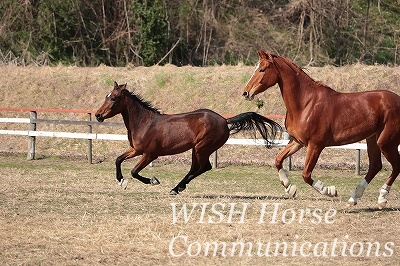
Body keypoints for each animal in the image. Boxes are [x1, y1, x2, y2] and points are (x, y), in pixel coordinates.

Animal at [94, 81, 282, 195]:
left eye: (114, 98)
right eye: (106, 96)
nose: (97, 115)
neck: (144, 122)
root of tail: (224, 120)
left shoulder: (150, 154)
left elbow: (134, 171)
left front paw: (153, 181)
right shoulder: (136, 149)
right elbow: (118, 159)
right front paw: (121, 181)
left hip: (201, 148)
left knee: (204, 167)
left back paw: (176, 188)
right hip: (196, 149)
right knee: (195, 168)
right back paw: (178, 187)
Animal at [241, 49, 400, 208]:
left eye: (262, 69)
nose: (246, 92)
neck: (305, 104)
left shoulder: (315, 146)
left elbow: (306, 174)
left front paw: (329, 191)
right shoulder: (297, 142)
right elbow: (278, 159)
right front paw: (289, 187)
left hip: (386, 143)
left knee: (396, 165)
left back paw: (382, 198)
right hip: (373, 139)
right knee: (375, 166)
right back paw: (353, 198)